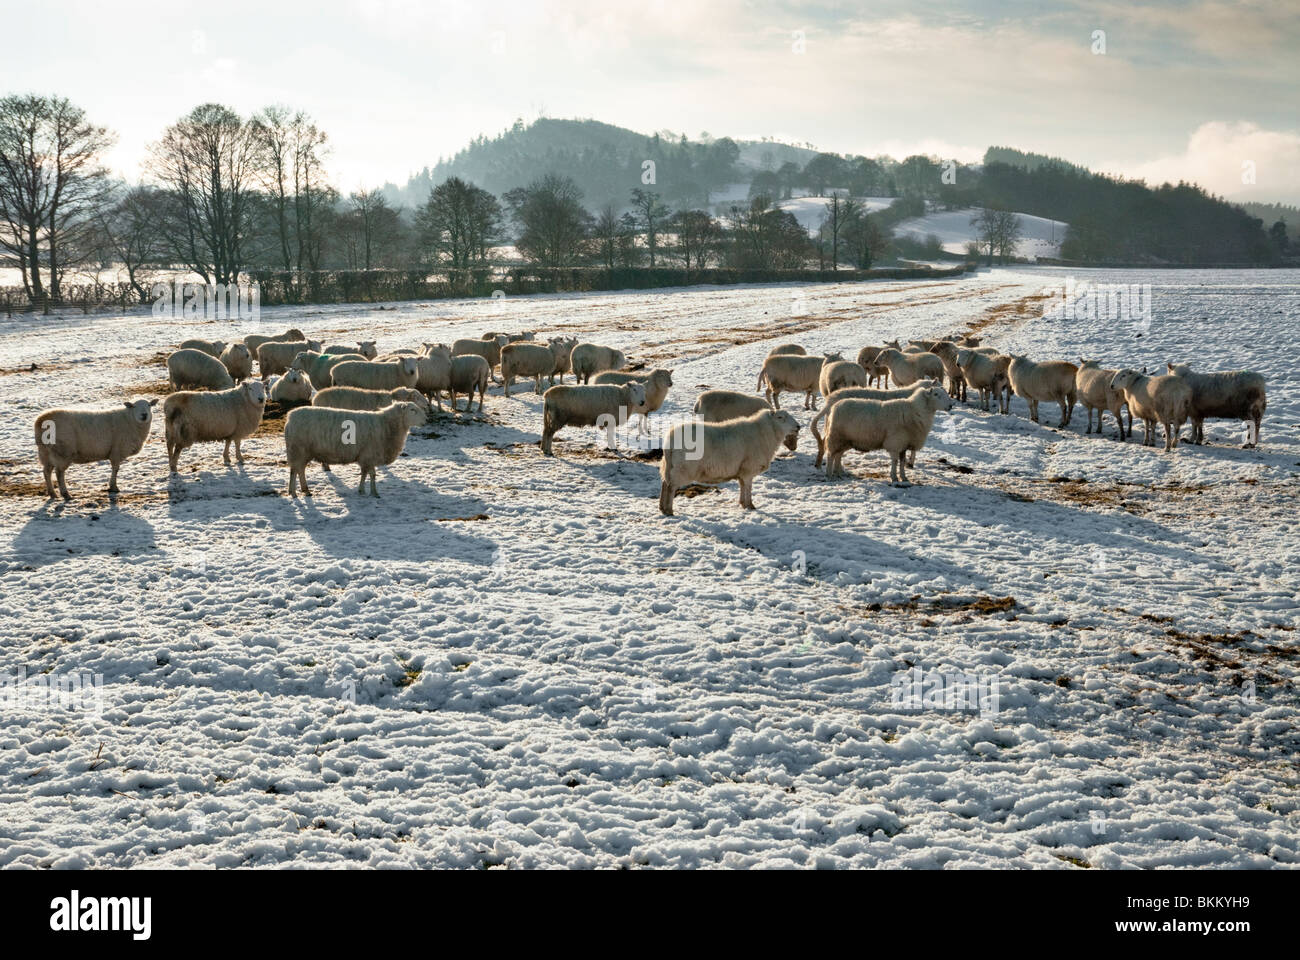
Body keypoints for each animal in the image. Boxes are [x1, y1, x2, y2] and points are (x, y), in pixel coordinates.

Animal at [286, 400, 423, 496]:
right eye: (412, 410)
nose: (425, 419)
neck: (387, 425)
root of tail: (290, 417)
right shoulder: (369, 455)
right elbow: (371, 474)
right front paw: (372, 492)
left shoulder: (367, 457)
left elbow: (366, 474)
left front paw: (364, 490)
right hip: (298, 449)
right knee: (294, 471)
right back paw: (294, 493)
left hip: (303, 451)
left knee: (300, 470)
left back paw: (304, 489)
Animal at [660, 408, 800, 520]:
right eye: (780, 417)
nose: (798, 426)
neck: (765, 432)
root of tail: (670, 438)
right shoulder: (749, 469)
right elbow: (748, 487)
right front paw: (750, 506)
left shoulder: (742, 470)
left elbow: (742, 486)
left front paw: (743, 503)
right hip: (683, 467)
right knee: (671, 487)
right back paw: (669, 510)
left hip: (670, 466)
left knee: (665, 483)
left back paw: (662, 508)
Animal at [806, 382, 941, 468]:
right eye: (937, 392)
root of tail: (830, 399)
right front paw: (910, 463)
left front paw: (909, 463)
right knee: (827, 443)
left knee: (825, 442)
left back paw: (819, 463)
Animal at [821, 382, 956, 486]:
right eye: (936, 394)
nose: (950, 405)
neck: (915, 411)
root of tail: (834, 406)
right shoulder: (895, 443)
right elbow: (895, 461)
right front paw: (894, 477)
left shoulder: (904, 444)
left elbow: (902, 462)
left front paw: (904, 477)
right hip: (836, 436)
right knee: (831, 455)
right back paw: (829, 474)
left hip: (845, 439)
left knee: (838, 455)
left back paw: (839, 473)